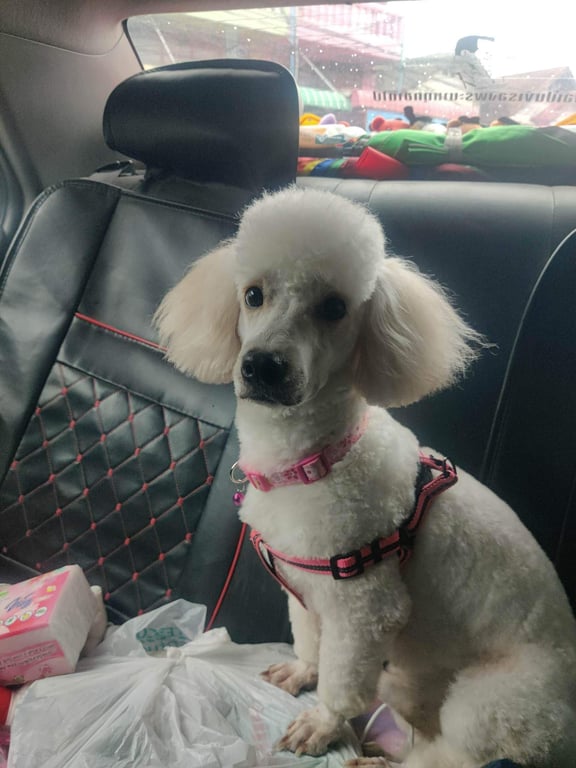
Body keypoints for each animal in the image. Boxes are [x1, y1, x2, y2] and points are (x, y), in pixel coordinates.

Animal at [155, 187, 576, 768]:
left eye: (334, 308)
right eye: (253, 295)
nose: (263, 366)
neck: (314, 461)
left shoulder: (365, 610)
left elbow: (343, 681)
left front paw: (321, 724)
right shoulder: (305, 591)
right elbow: (312, 646)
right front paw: (302, 672)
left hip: (492, 706)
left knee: (454, 754)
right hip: (414, 680)